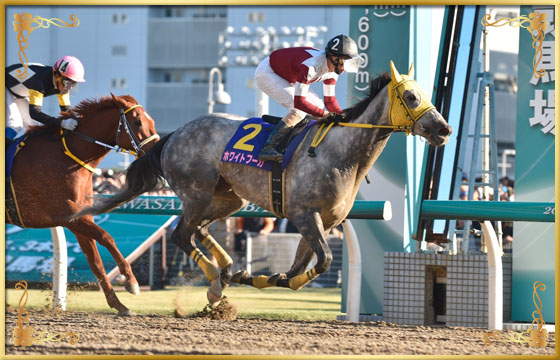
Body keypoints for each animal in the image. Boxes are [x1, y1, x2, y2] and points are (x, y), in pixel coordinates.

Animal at [6, 93, 160, 316]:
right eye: (138, 122)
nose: (158, 153)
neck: (67, 157)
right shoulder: (66, 216)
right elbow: (107, 237)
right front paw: (131, 282)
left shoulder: (81, 217)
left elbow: (95, 262)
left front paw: (119, 305)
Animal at [76, 62, 452, 304]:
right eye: (411, 97)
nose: (444, 129)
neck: (341, 153)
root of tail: (171, 136)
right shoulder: (304, 215)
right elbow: (324, 262)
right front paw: (262, 278)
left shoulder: (324, 222)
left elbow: (303, 267)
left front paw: (262, 277)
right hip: (196, 192)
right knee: (183, 233)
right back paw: (216, 283)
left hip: (230, 199)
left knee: (199, 230)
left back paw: (227, 272)